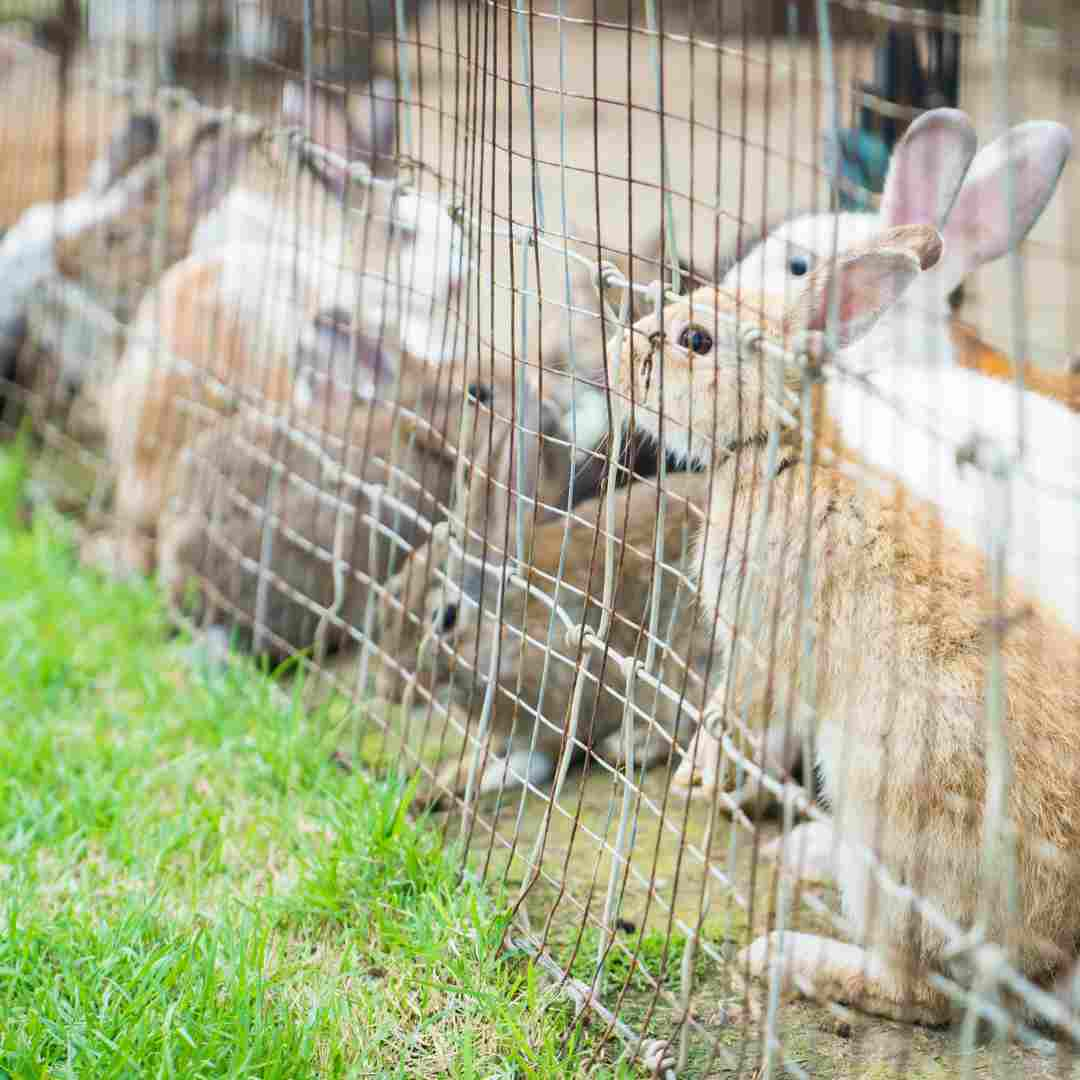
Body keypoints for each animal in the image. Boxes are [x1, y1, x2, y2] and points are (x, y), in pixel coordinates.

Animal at [617, 223, 1080, 1023]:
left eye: (695, 340)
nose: (617, 353)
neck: (777, 450)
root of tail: (1055, 956)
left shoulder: (760, 647)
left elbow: (738, 713)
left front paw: (697, 780)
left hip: (883, 825)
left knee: (920, 990)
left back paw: (785, 957)